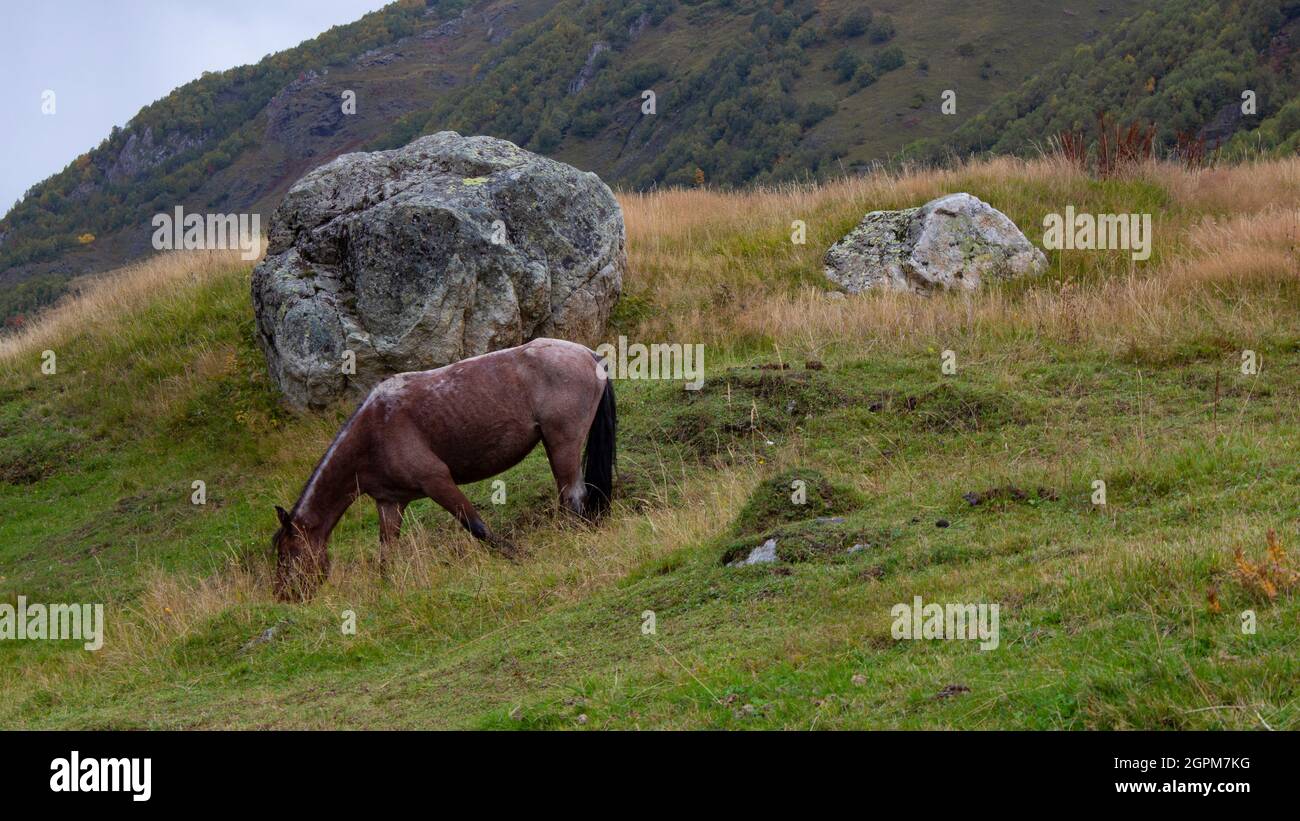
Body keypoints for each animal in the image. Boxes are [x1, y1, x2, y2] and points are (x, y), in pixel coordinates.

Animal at [269, 337, 613, 600]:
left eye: (287, 555)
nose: (285, 596)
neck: (373, 432)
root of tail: (589, 354)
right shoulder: (390, 503)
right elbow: (386, 553)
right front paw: (386, 589)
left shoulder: (437, 481)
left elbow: (476, 526)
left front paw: (517, 556)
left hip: (563, 443)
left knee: (573, 496)